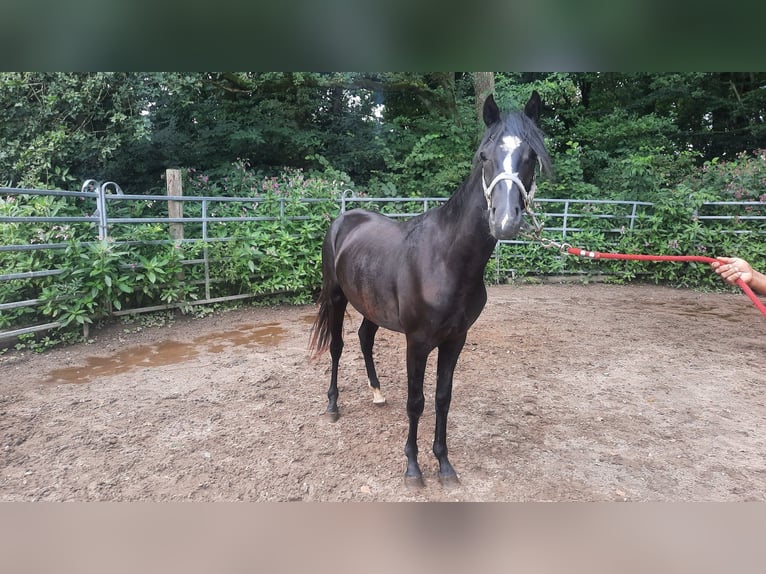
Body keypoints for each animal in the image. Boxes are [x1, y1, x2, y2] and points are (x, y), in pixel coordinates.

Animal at [309, 92, 551, 486]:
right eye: (484, 155)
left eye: (530, 156)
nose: (504, 220)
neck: (445, 260)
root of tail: (344, 218)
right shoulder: (418, 341)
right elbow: (416, 401)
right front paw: (412, 466)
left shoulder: (455, 340)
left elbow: (442, 398)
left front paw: (444, 464)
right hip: (336, 296)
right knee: (337, 346)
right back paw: (332, 405)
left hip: (371, 306)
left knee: (364, 338)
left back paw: (377, 393)